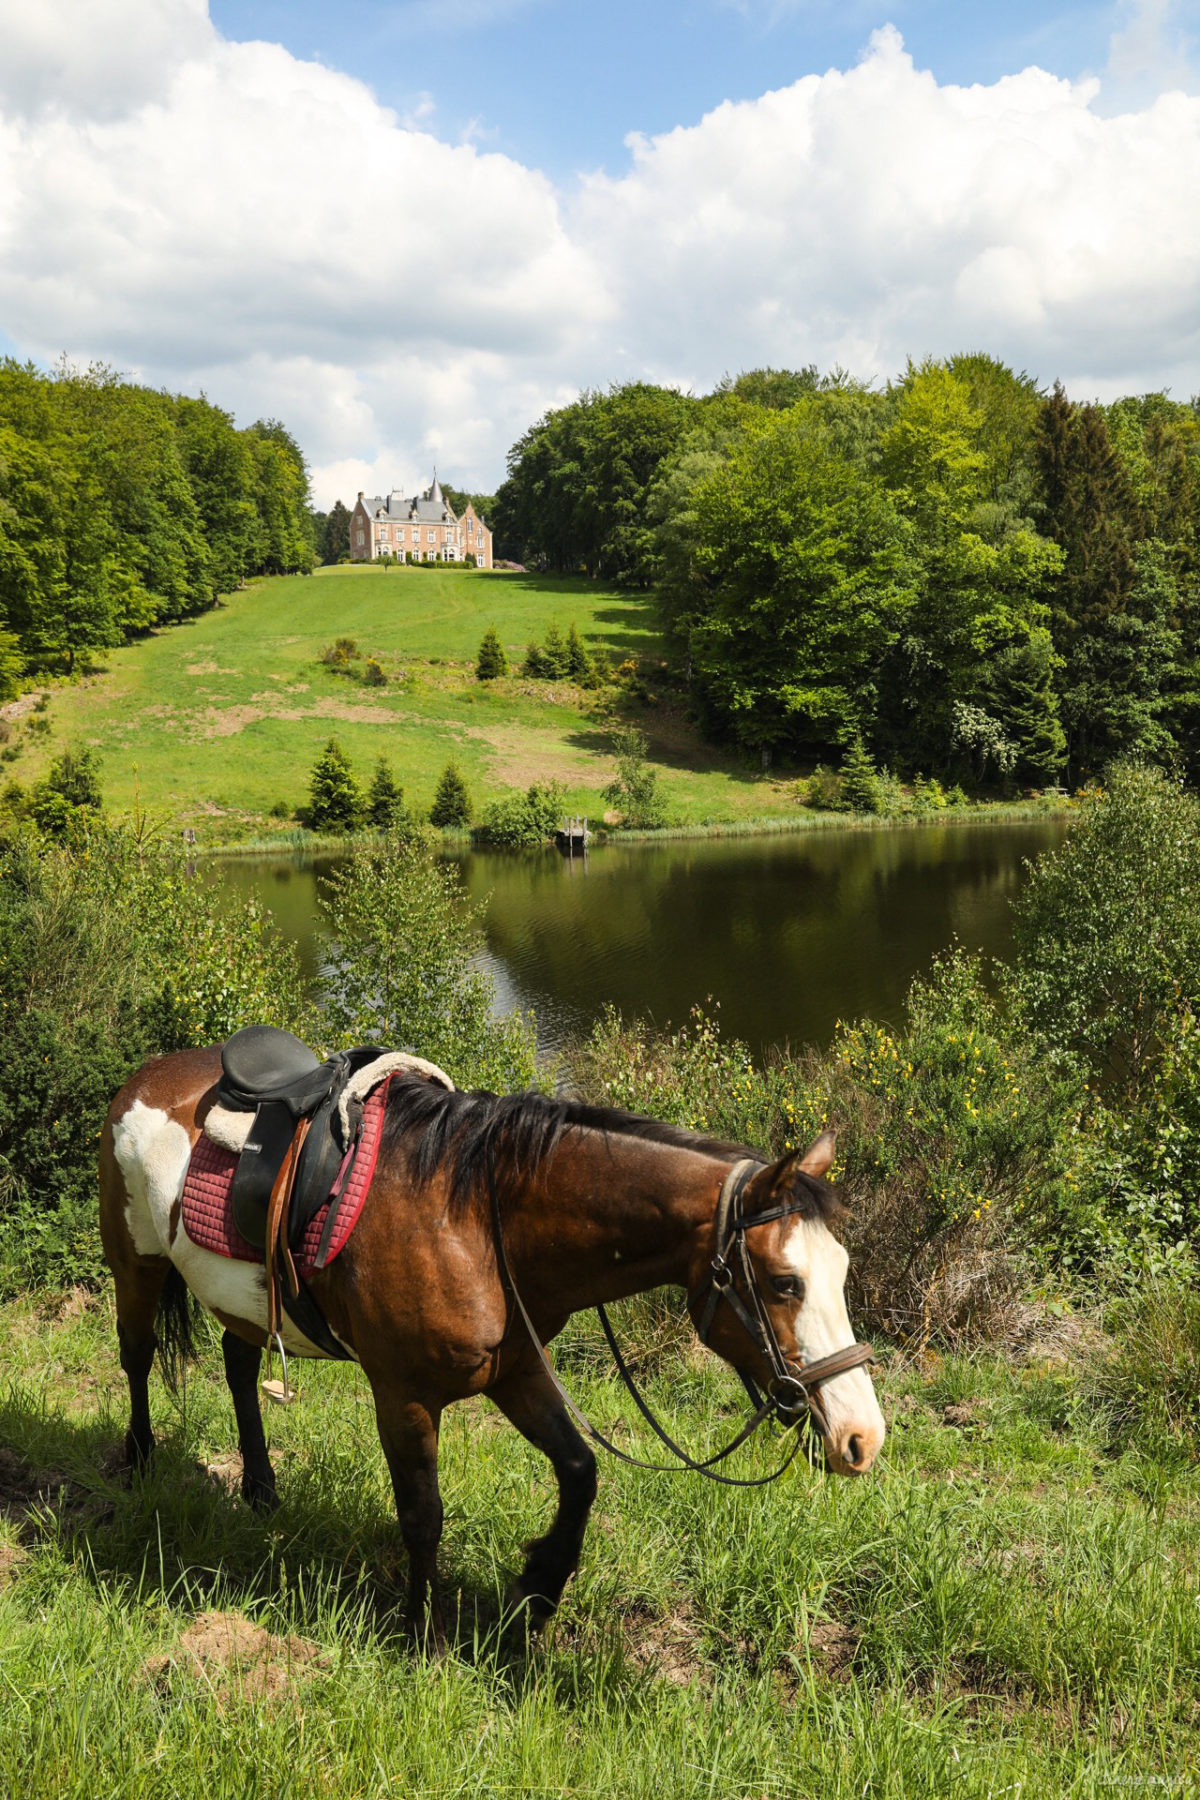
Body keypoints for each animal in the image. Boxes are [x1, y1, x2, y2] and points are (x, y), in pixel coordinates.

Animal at [103, 1051, 888, 1648]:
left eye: (844, 1272)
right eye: (785, 1283)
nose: (863, 1439)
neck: (479, 1218)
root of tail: (147, 1076)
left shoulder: (516, 1373)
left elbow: (580, 1472)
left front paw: (538, 1590)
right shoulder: (405, 1396)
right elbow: (423, 1515)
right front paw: (420, 1634)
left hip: (243, 1300)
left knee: (238, 1368)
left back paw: (261, 1487)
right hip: (136, 1266)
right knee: (137, 1358)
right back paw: (138, 1460)